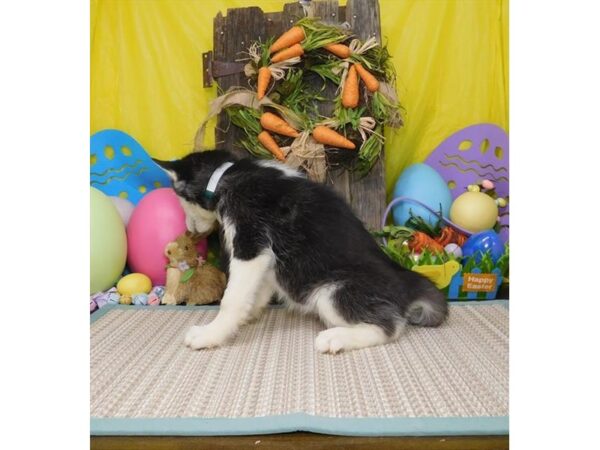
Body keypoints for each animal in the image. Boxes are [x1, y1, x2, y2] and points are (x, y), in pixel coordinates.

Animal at [157, 151, 448, 356]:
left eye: (180, 201)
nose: (189, 229)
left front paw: (212, 333)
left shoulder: (250, 243)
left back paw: (336, 338)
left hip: (333, 292)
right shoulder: (266, 258)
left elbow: (232, 299)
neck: (226, 175)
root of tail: (405, 281)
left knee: (391, 327)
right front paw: (247, 315)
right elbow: (256, 290)